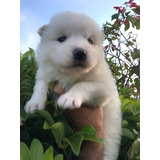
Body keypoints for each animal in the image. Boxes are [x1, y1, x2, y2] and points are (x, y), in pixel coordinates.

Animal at [25, 10, 122, 159]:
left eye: (90, 41)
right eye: (61, 39)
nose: (80, 52)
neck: (71, 74)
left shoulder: (104, 88)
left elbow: (83, 84)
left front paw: (69, 98)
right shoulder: (45, 73)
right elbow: (41, 85)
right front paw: (34, 103)